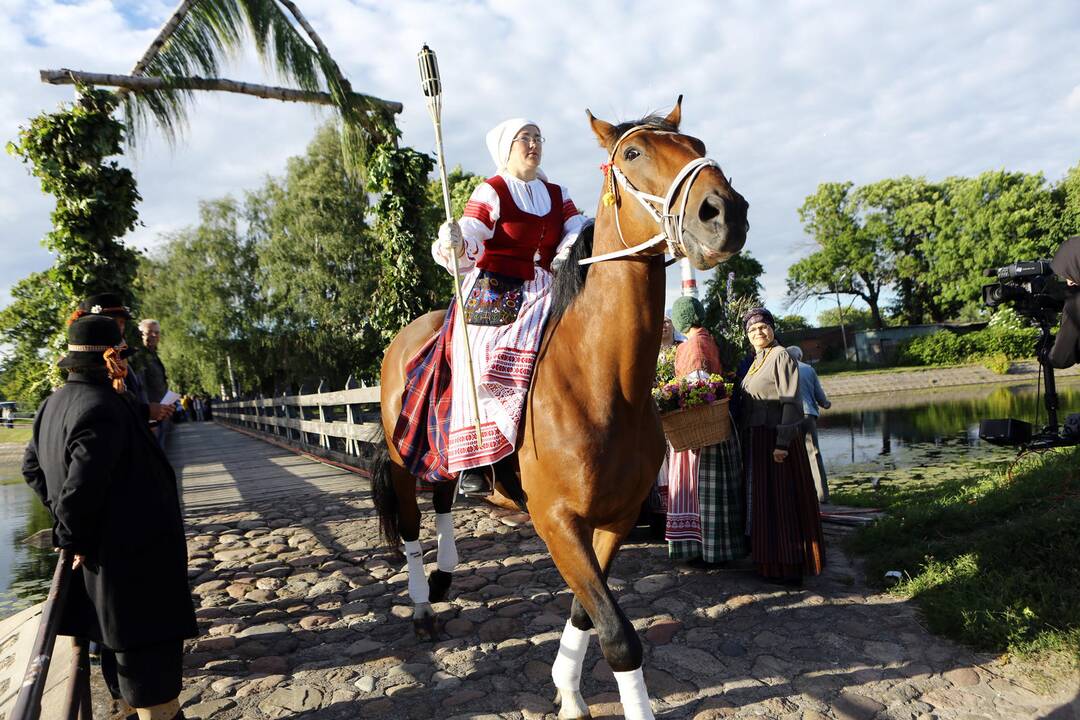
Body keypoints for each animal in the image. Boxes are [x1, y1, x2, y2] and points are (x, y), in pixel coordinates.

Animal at [375, 97, 747, 720]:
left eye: (696, 146)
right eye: (633, 153)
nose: (725, 211)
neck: (601, 382)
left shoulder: (614, 519)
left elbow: (585, 613)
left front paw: (568, 691)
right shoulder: (555, 521)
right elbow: (619, 635)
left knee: (446, 499)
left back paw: (447, 575)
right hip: (406, 460)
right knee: (408, 523)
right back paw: (424, 603)